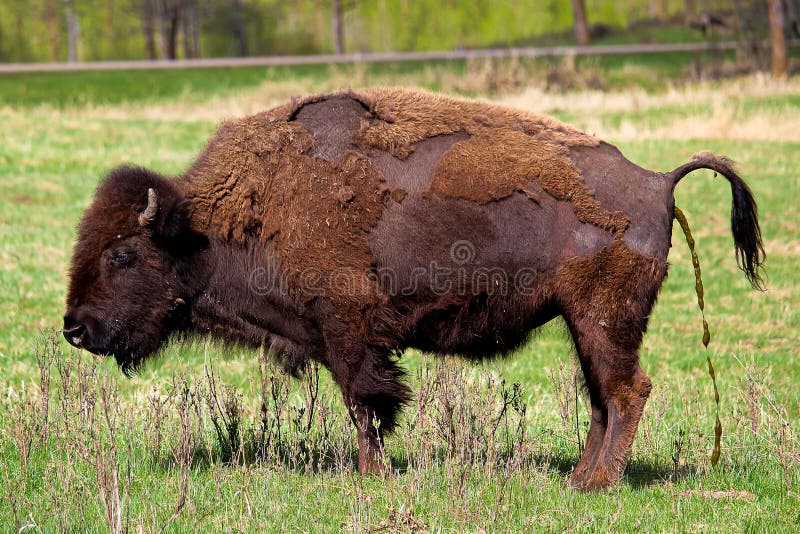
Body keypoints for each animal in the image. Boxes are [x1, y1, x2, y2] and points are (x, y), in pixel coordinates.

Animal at [64, 87, 764, 490]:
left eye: (122, 254)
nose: (75, 327)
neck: (210, 225)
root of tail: (657, 181)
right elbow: (368, 405)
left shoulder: (349, 332)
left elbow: (366, 404)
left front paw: (372, 477)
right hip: (583, 324)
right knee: (602, 397)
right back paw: (578, 479)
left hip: (604, 318)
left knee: (627, 391)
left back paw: (597, 485)